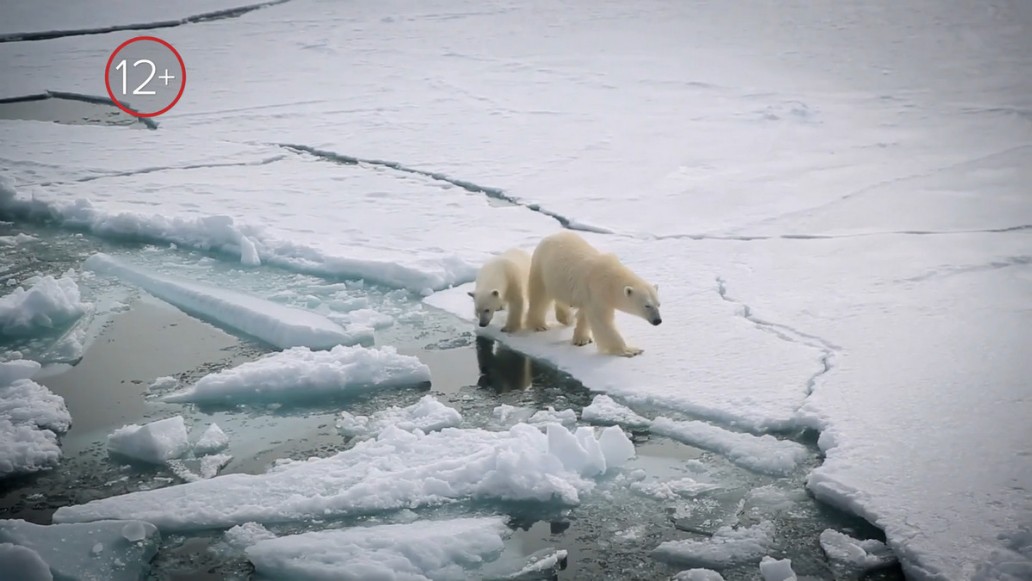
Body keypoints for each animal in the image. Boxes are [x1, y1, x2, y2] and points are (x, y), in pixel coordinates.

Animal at [528, 231, 664, 357]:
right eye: (647, 305)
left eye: (658, 304)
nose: (658, 321)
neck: (611, 279)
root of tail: (551, 236)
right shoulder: (597, 290)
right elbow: (601, 321)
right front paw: (630, 350)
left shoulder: (591, 295)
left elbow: (585, 315)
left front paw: (582, 339)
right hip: (541, 268)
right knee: (539, 297)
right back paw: (540, 325)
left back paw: (567, 318)